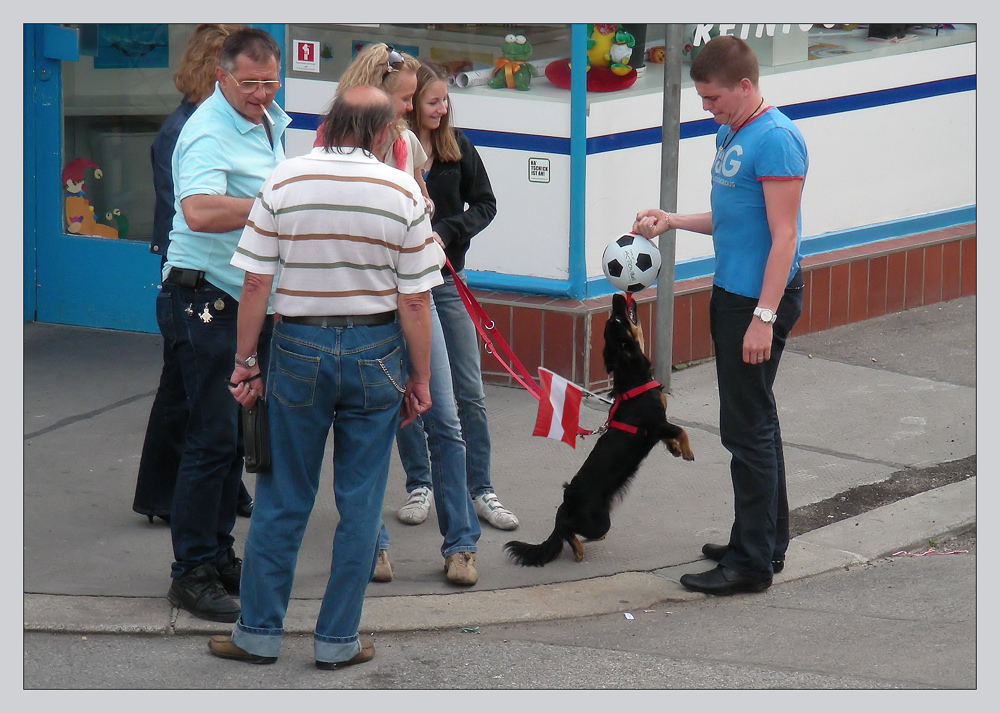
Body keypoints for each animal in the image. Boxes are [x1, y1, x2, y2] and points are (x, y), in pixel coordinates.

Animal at [504, 290, 692, 568]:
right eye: (617, 320)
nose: (616, 295)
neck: (634, 381)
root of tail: (566, 503)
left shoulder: (660, 426)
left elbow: (672, 434)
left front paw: (676, 450)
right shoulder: (656, 422)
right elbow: (680, 429)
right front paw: (687, 451)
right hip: (600, 521)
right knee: (567, 530)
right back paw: (578, 549)